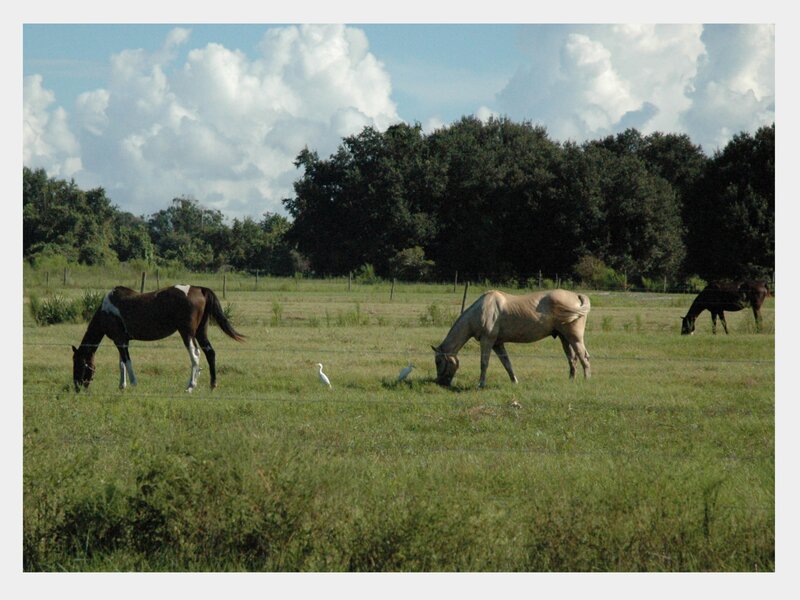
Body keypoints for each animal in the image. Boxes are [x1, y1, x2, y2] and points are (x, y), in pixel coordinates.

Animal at [72, 284, 244, 392]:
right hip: (201, 332)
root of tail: (199, 289)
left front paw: (133, 384)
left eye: (78, 363)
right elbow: (122, 363)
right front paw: (122, 386)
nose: (77, 387)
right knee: (210, 353)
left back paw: (190, 386)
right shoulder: (122, 341)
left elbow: (127, 362)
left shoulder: (120, 340)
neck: (106, 310)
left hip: (187, 333)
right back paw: (212, 385)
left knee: (195, 355)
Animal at [432, 289, 591, 388]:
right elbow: (507, 364)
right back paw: (571, 381)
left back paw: (586, 380)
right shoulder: (497, 344)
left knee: (583, 357)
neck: (482, 310)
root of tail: (577, 296)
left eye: (438, 362)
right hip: (564, 338)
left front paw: (481, 384)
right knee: (572, 359)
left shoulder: (487, 341)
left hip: (574, 338)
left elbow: (484, 363)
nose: (439, 383)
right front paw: (514, 381)